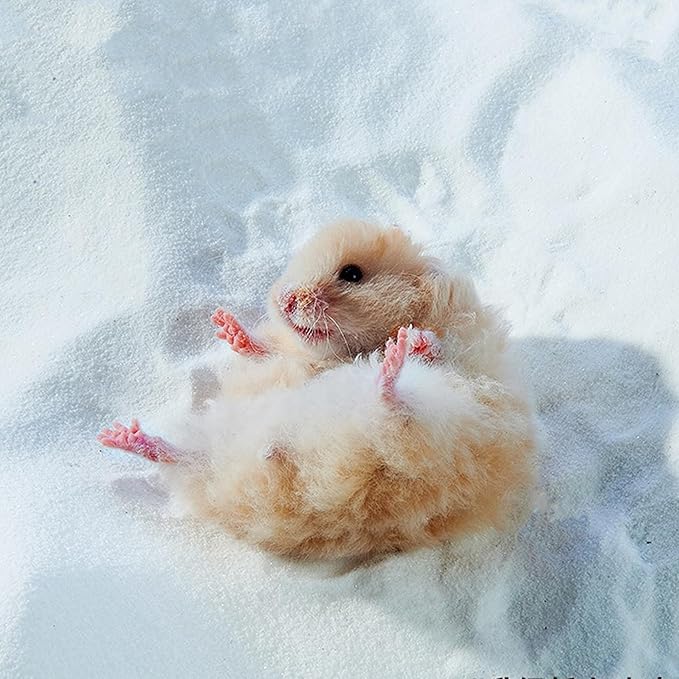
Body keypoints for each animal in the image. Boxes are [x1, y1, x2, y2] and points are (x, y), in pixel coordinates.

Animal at [98, 220, 537, 559]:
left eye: (352, 274)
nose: (286, 299)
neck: (345, 352)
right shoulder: (293, 360)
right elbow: (267, 351)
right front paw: (227, 326)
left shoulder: (464, 349)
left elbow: (439, 349)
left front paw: (412, 339)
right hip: (225, 444)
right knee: (185, 457)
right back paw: (120, 436)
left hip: (435, 436)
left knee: (396, 412)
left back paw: (393, 362)